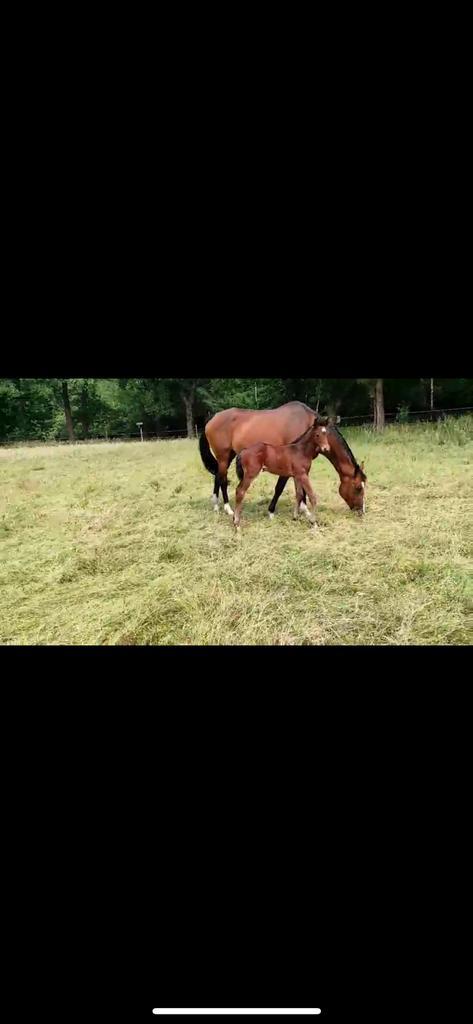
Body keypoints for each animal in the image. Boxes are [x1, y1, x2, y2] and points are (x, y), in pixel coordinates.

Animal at [199, 400, 367, 516]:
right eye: (358, 487)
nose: (361, 511)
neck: (307, 424)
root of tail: (211, 419)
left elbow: (300, 488)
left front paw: (302, 509)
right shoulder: (289, 463)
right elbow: (280, 488)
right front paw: (273, 511)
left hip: (229, 456)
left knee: (218, 476)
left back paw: (216, 505)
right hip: (223, 456)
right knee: (222, 479)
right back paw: (228, 509)